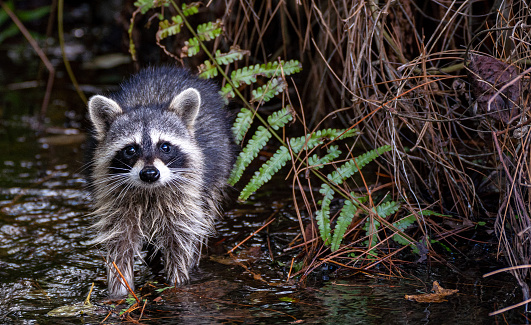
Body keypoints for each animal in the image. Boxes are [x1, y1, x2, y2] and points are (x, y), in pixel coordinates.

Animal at [87, 66, 235, 296]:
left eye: (165, 146)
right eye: (131, 149)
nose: (150, 173)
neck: (149, 191)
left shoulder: (186, 199)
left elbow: (181, 240)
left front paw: (178, 282)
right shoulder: (115, 202)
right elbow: (120, 245)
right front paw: (119, 291)